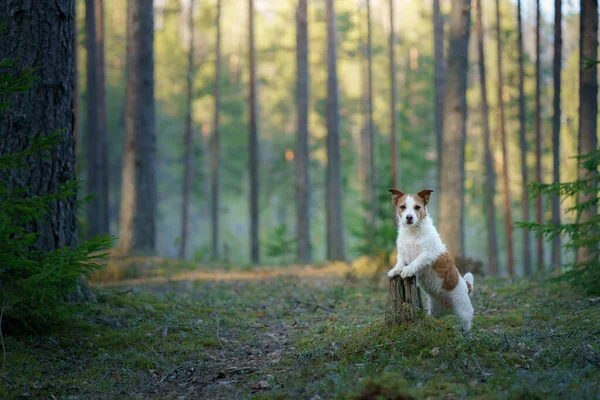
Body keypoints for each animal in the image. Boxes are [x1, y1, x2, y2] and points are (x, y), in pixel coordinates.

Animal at [386, 189, 476, 330]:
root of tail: (466, 287)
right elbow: (400, 263)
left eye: (417, 207)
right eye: (403, 207)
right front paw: (395, 270)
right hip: (435, 310)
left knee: (466, 324)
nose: (409, 217)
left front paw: (407, 270)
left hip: (463, 311)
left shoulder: (427, 254)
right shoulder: (402, 254)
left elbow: (416, 262)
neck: (412, 233)